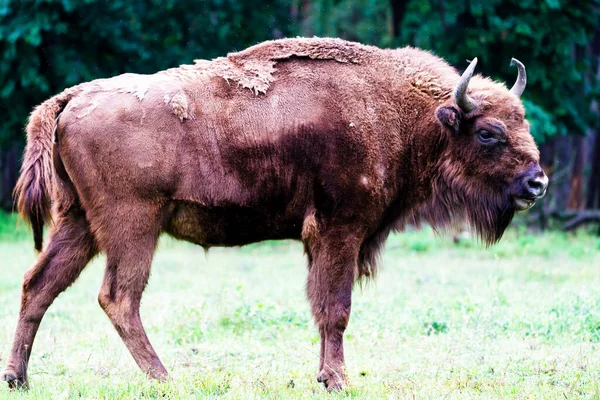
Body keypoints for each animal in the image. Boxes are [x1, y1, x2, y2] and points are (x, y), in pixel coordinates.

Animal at [3, 36, 544, 388]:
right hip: (132, 225)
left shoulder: (326, 241)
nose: (536, 183)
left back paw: (19, 378)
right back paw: (166, 378)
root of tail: (71, 98)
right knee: (118, 297)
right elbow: (336, 308)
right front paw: (336, 380)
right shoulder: (339, 231)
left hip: (79, 224)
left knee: (38, 285)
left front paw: (326, 375)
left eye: (523, 122)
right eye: (488, 132)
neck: (402, 111)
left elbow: (324, 307)